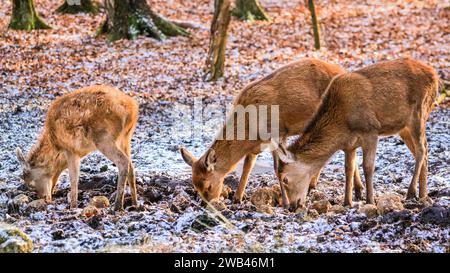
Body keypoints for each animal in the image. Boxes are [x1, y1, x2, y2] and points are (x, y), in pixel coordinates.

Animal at [179, 58, 362, 203]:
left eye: (208, 186)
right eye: (196, 187)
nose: (208, 205)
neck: (251, 131)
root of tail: (343, 70)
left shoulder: (278, 134)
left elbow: (277, 168)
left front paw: (285, 202)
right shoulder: (255, 147)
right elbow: (247, 167)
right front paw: (238, 198)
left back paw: (358, 191)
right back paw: (315, 185)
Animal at [274, 58, 440, 210]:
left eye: (285, 179)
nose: (291, 207)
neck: (343, 124)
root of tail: (434, 74)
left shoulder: (371, 131)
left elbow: (368, 166)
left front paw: (369, 200)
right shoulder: (349, 145)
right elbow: (348, 169)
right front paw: (347, 202)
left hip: (419, 112)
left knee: (421, 150)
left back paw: (411, 192)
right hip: (404, 127)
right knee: (424, 149)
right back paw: (423, 194)